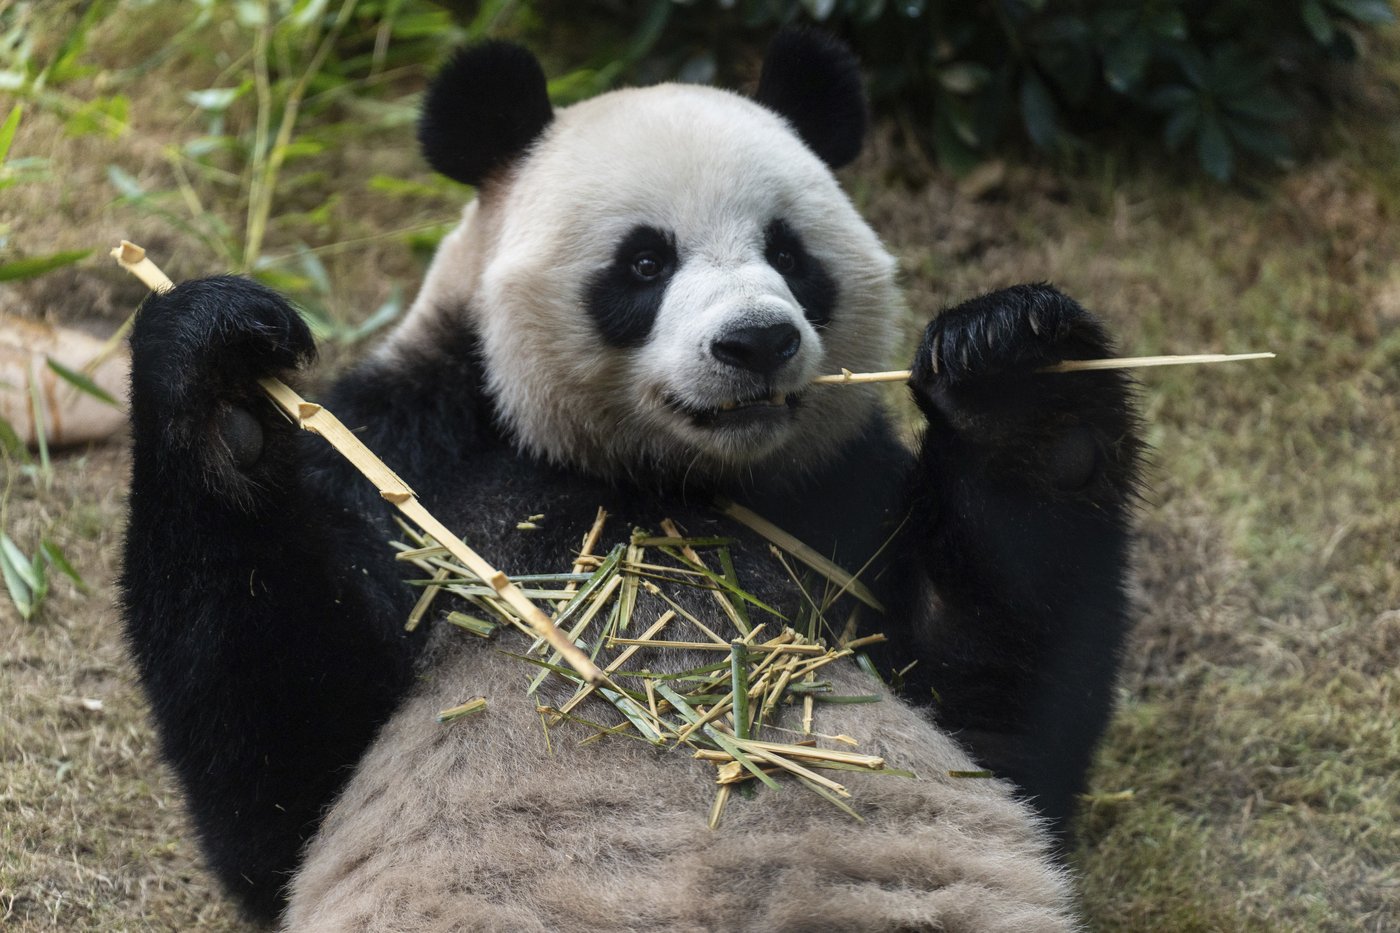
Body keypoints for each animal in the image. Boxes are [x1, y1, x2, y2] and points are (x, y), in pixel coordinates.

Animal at [121, 30, 1141, 932]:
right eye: (646, 260)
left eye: (790, 252)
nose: (757, 342)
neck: (656, 480)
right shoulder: (412, 458)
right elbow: (282, 770)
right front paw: (225, 384)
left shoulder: (844, 488)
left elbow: (999, 713)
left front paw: (1019, 379)